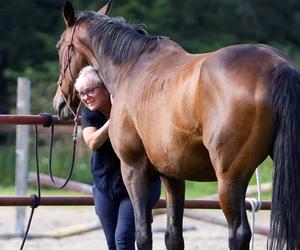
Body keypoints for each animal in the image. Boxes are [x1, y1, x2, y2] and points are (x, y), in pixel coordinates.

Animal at [52, 2, 300, 250]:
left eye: (59, 46)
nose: (59, 103)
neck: (130, 67)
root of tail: (278, 66)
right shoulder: (172, 174)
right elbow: (173, 235)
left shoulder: (133, 168)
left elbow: (143, 233)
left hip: (230, 180)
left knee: (238, 233)